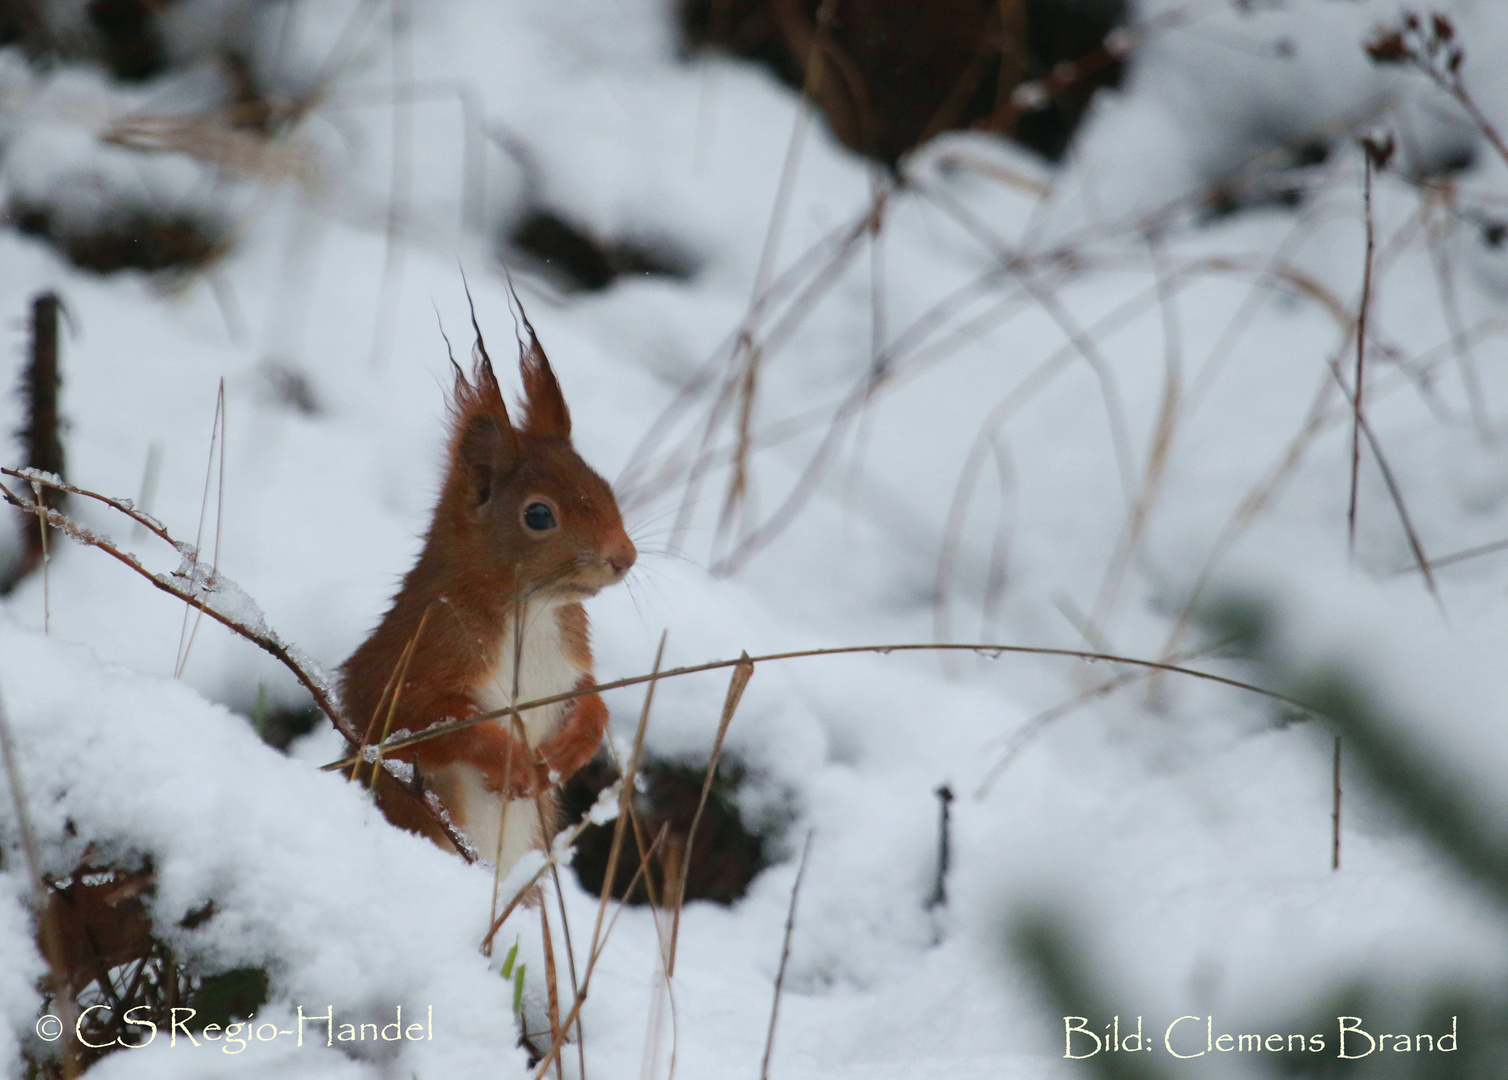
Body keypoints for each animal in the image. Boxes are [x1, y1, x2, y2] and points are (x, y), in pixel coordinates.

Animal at [342, 316, 636, 874]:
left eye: (606, 488)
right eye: (538, 515)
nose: (625, 558)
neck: (533, 611)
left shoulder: (571, 662)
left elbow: (592, 700)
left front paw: (567, 751)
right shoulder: (408, 661)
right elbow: (427, 722)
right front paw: (514, 761)